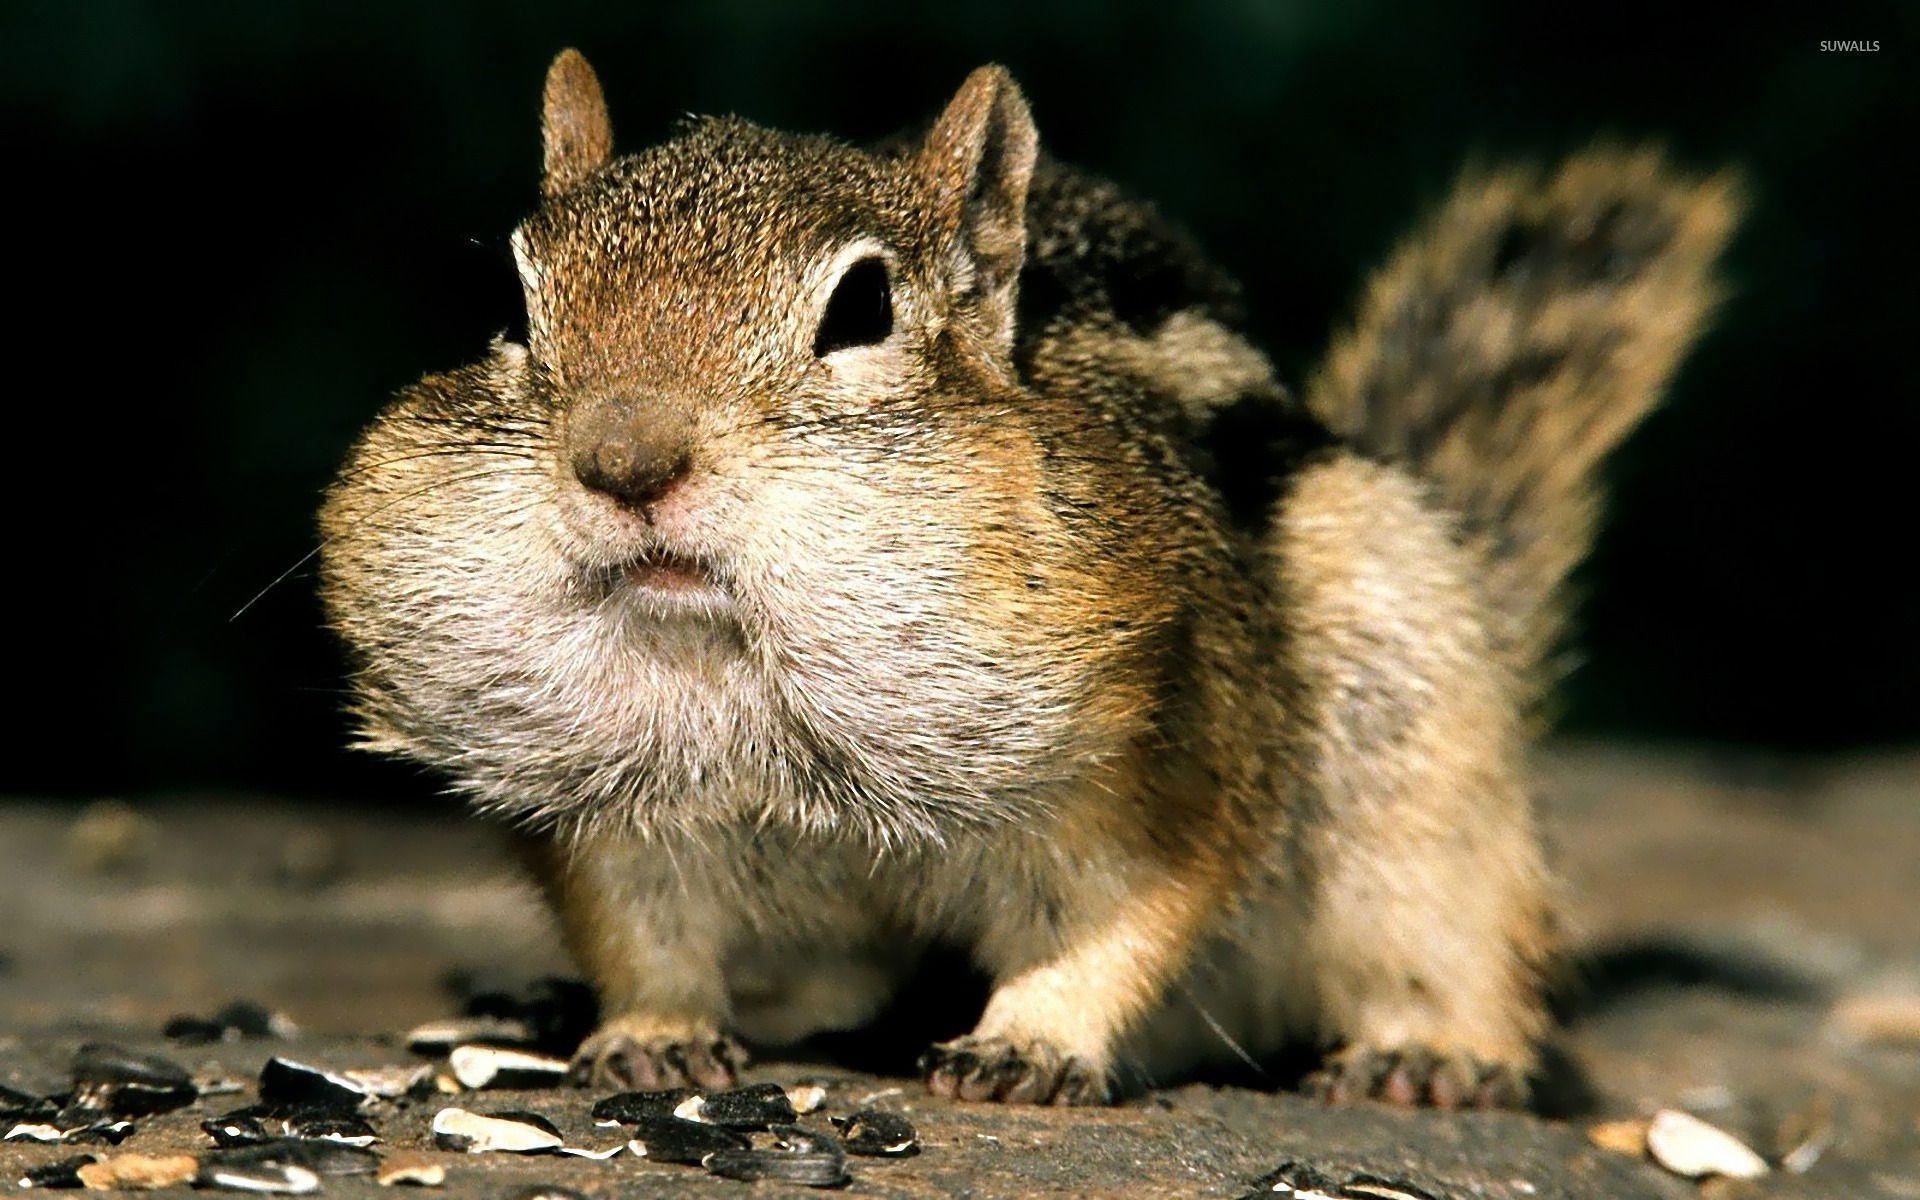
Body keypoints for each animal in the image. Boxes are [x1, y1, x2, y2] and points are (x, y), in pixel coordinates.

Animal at [320, 49, 1736, 1108]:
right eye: (515, 305)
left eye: (862, 310)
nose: (625, 463)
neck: (739, 664)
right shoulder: (615, 812)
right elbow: (641, 926)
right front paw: (647, 1031)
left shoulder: (1172, 756)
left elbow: (1124, 914)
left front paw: (1031, 1042)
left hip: (1419, 741)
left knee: (1455, 927)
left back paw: (1431, 1055)